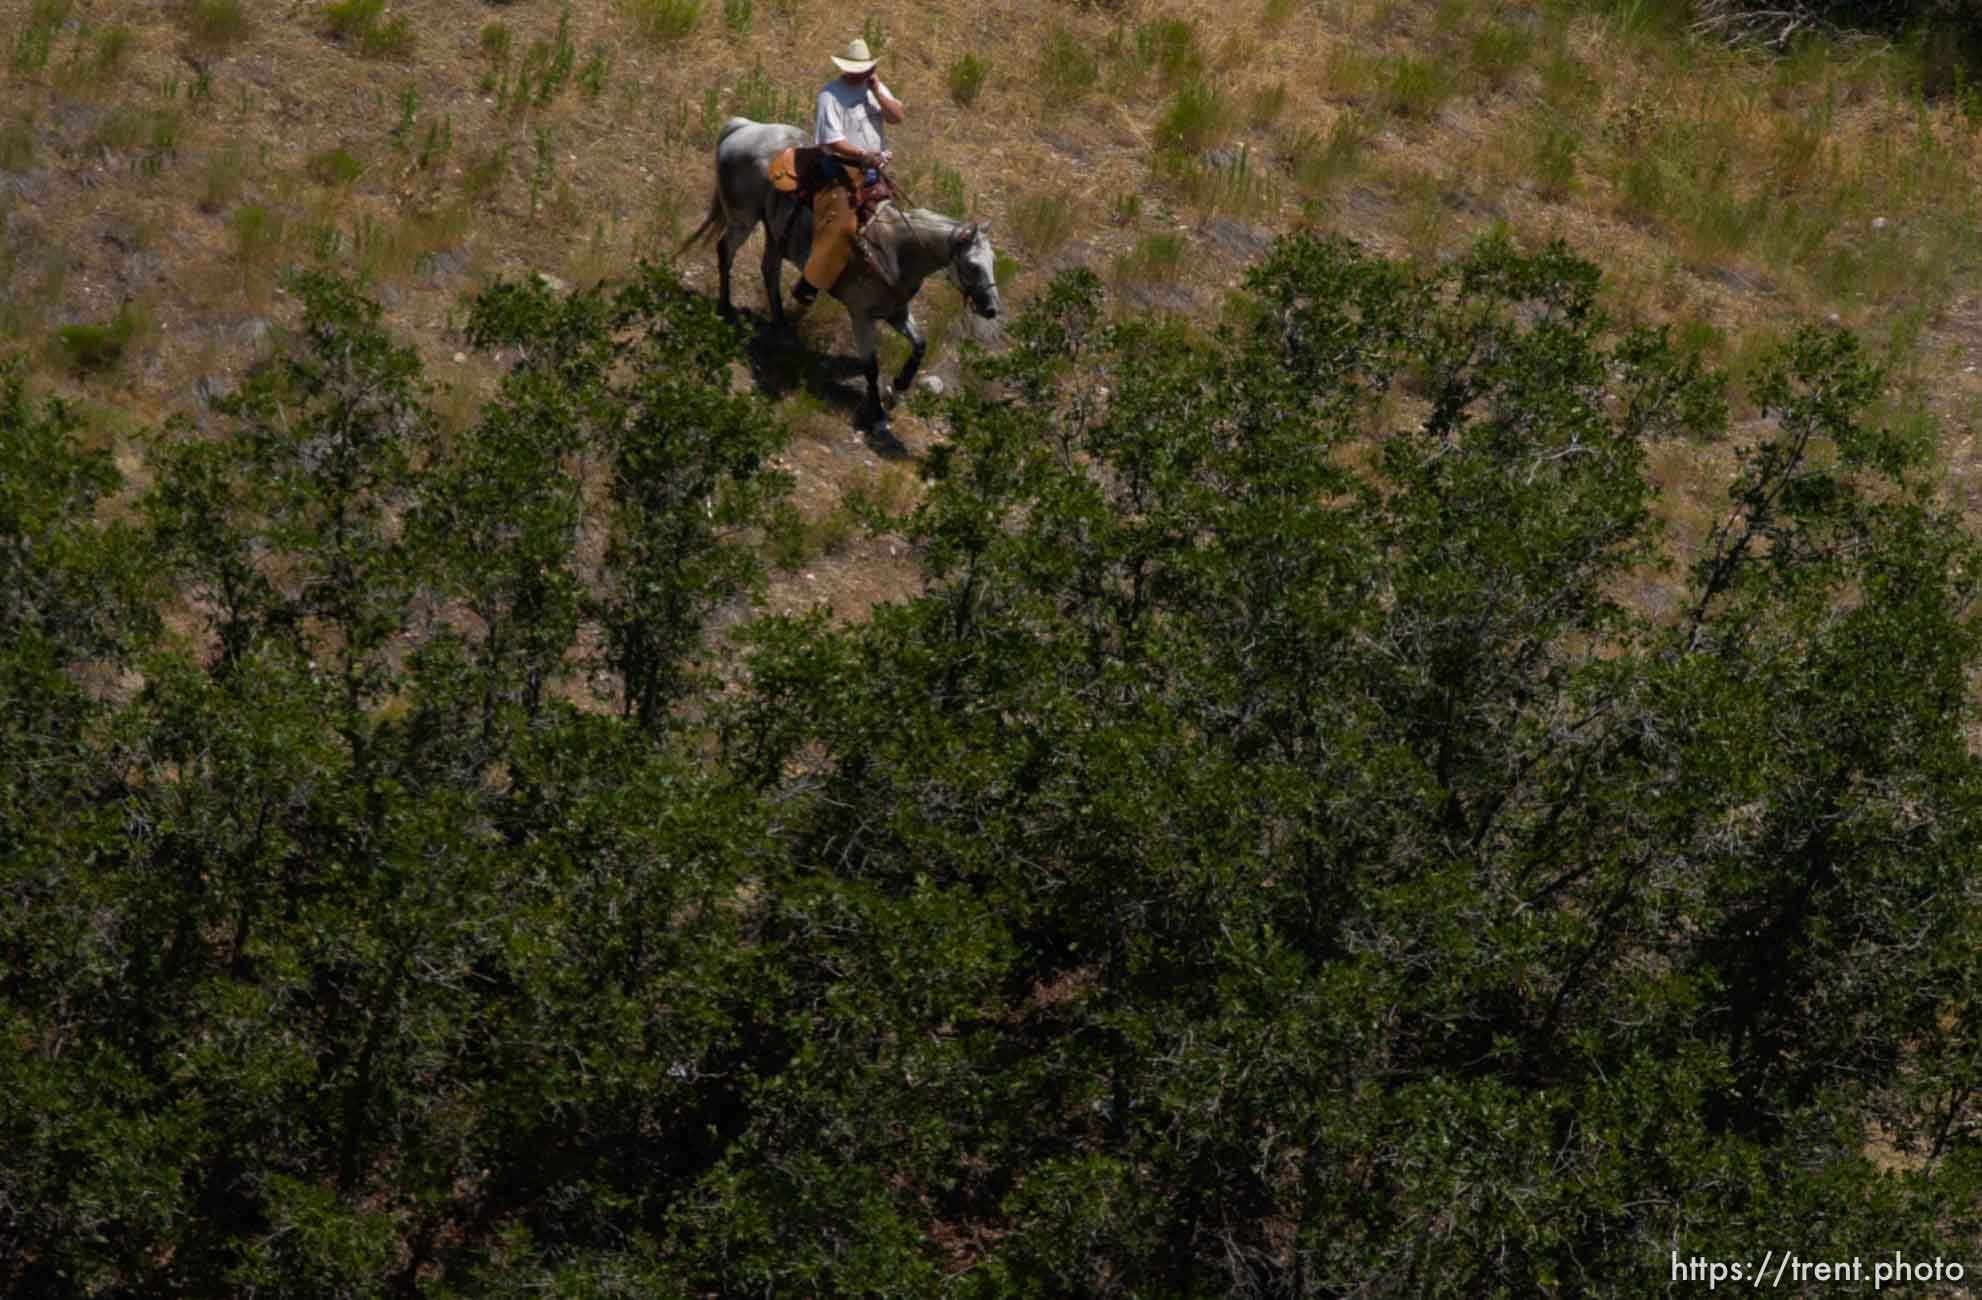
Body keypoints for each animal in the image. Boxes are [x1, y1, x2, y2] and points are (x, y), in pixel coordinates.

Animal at [681, 117, 998, 432]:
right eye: (973, 265)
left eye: (993, 261)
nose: (992, 309)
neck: (896, 249)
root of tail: (744, 127)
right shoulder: (861, 315)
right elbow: (871, 365)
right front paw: (875, 412)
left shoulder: (896, 312)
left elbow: (920, 345)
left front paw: (899, 385)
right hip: (743, 218)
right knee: (726, 251)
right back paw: (725, 307)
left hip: (774, 232)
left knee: (769, 269)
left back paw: (781, 324)